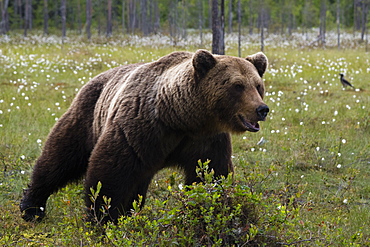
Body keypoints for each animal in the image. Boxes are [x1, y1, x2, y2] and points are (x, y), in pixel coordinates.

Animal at [19, 49, 268, 224]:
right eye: (237, 86)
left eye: (258, 85)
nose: (262, 109)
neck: (181, 118)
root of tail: (94, 78)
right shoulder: (140, 129)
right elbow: (109, 174)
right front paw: (104, 219)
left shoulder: (206, 140)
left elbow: (212, 175)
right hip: (87, 117)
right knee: (60, 157)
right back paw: (31, 207)